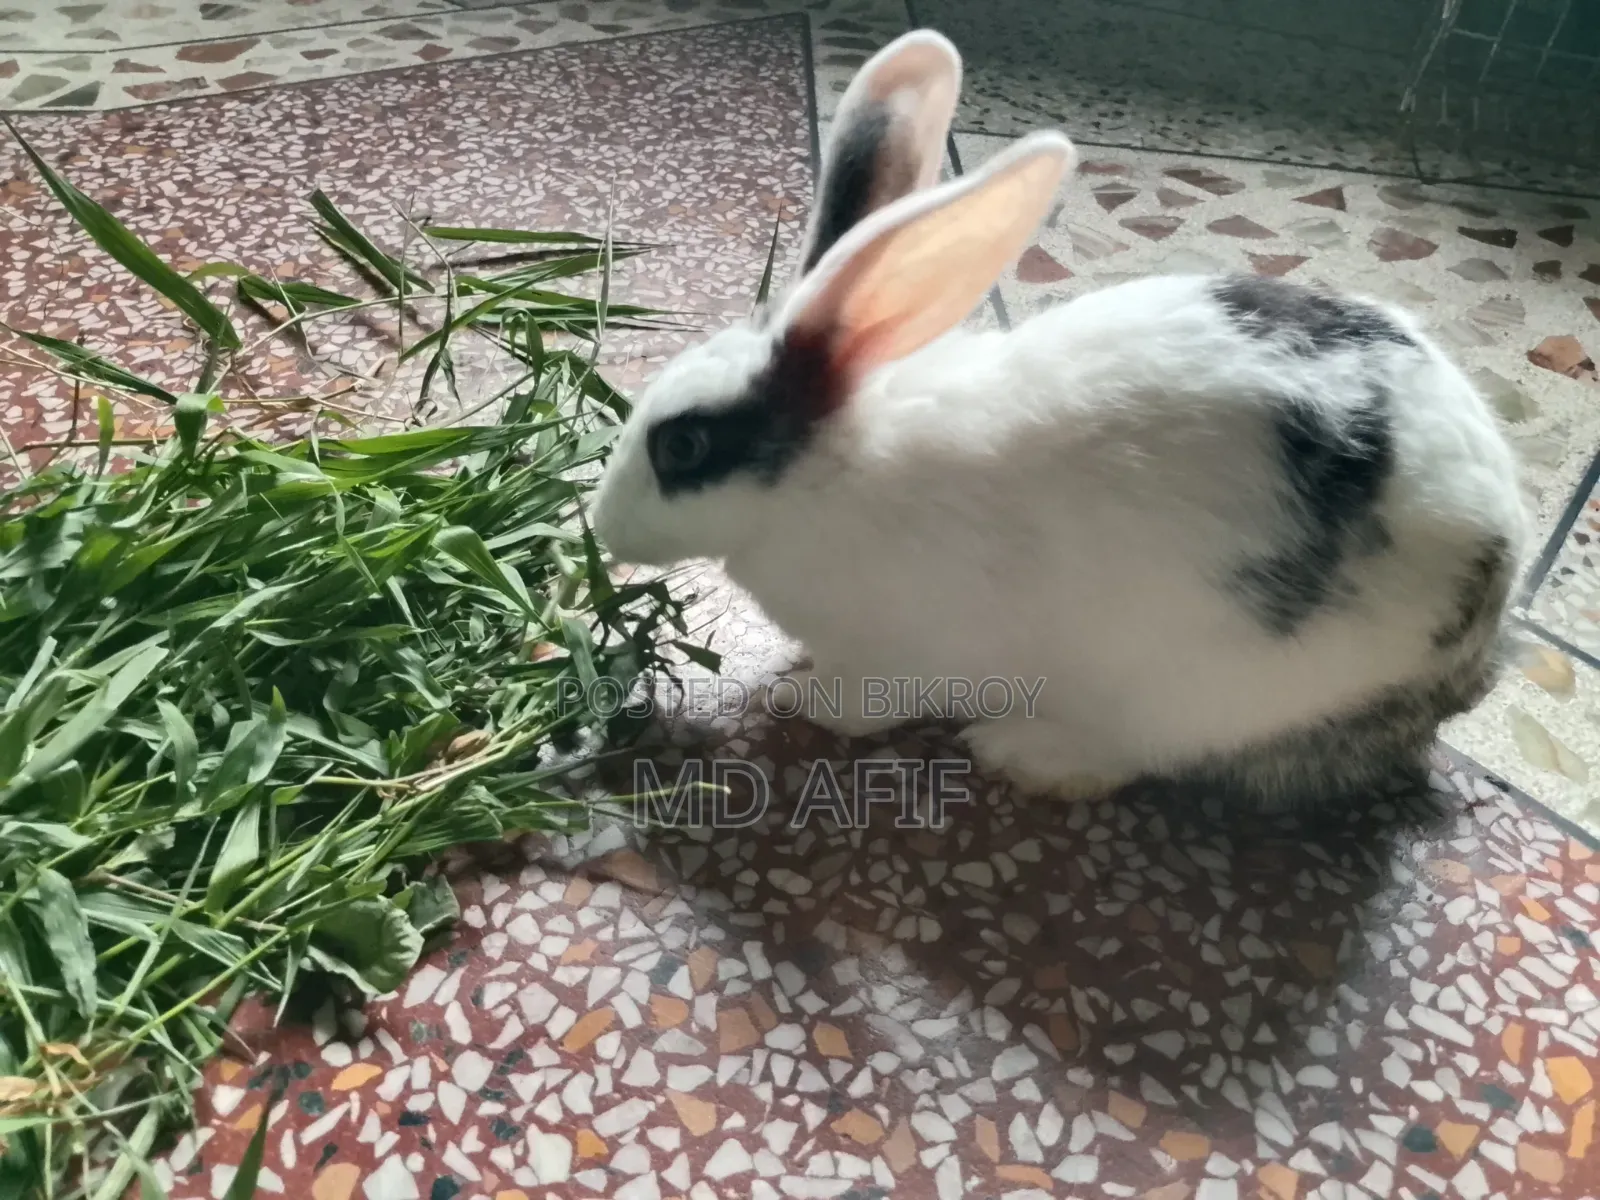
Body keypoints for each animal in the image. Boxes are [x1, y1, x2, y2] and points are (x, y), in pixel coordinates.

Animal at [591, 29, 1529, 810]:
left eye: (684, 444)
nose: (600, 526)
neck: (825, 471)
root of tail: (1472, 647)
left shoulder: (898, 655)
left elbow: (862, 704)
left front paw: (800, 698)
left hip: (1194, 690)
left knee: (1139, 754)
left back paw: (1023, 753)